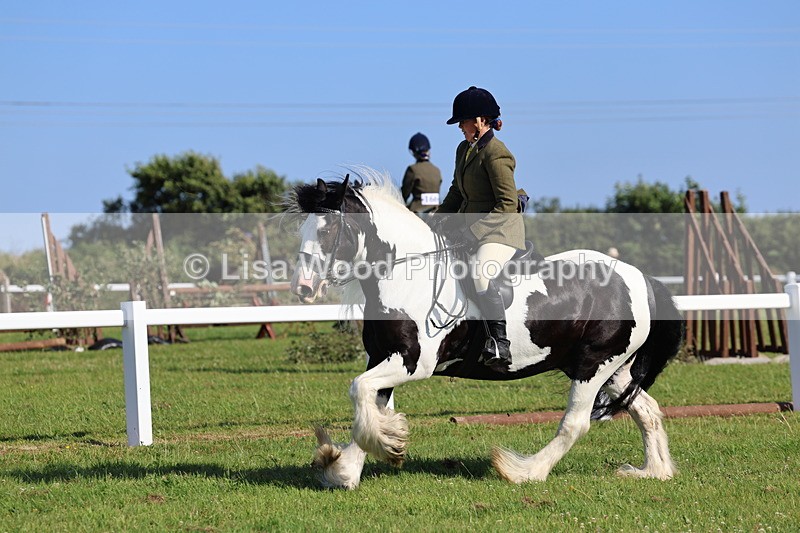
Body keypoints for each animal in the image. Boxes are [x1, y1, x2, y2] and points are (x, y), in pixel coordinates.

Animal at [288, 170, 684, 489]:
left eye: (329, 229)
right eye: (304, 229)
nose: (303, 288)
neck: (404, 277)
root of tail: (641, 279)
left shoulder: (412, 363)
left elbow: (359, 391)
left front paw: (383, 447)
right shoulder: (384, 357)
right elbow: (370, 405)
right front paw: (350, 468)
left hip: (594, 366)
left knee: (576, 424)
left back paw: (524, 471)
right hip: (612, 368)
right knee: (647, 410)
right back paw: (654, 471)